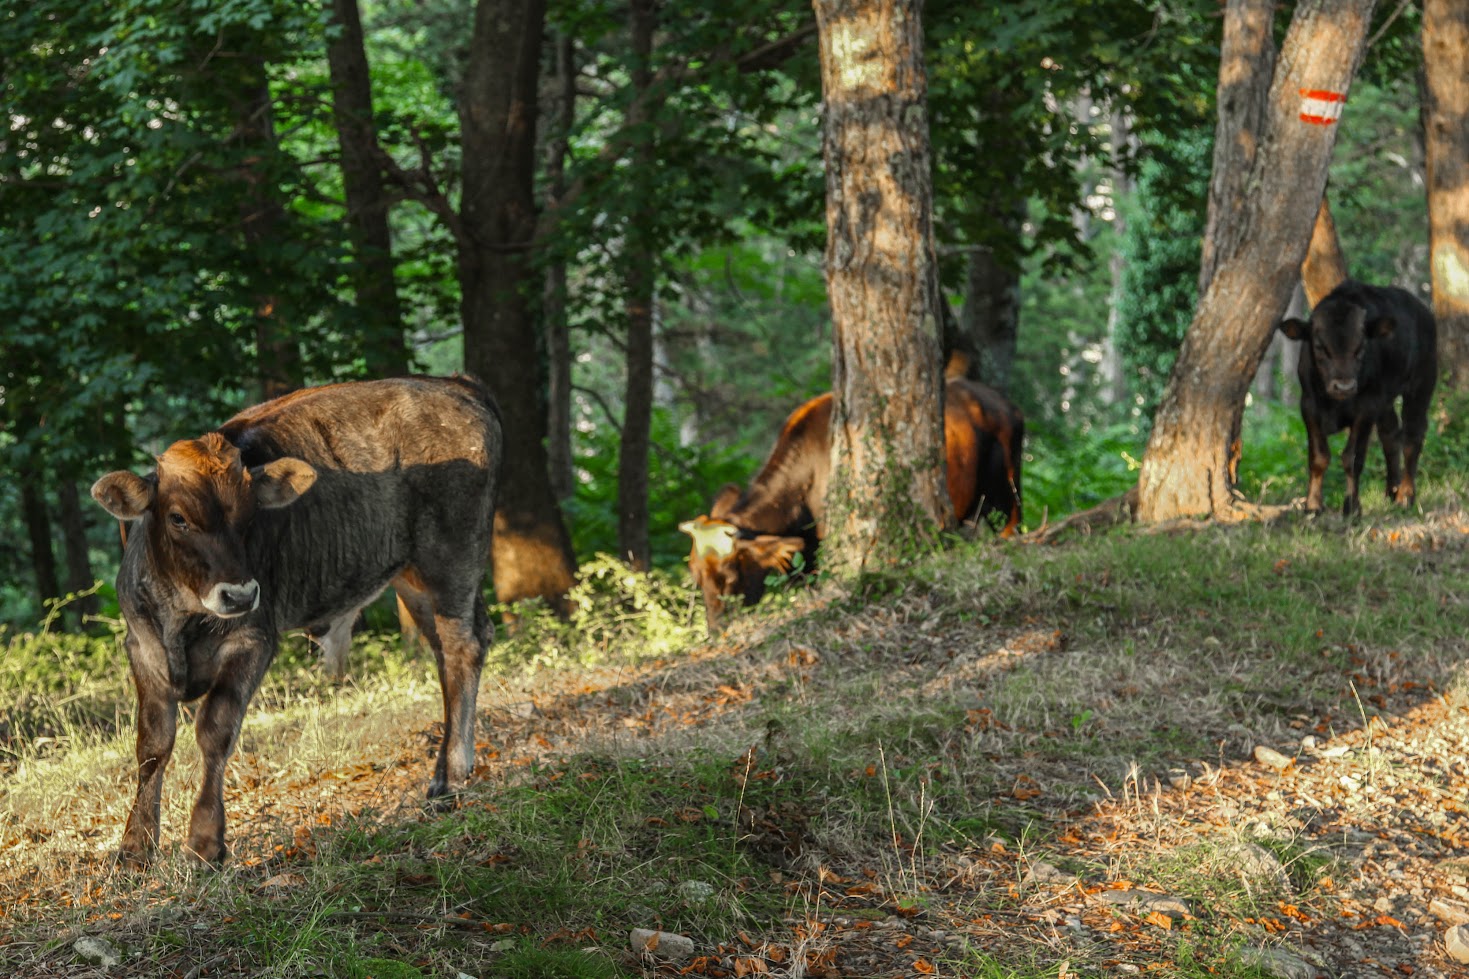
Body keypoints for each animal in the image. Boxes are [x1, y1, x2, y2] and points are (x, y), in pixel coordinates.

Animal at [94, 373, 505, 864]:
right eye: (178, 518)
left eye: (250, 517)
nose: (240, 593)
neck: (183, 618)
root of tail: (453, 384)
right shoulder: (142, 645)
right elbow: (152, 744)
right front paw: (135, 846)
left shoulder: (253, 640)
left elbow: (214, 729)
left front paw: (205, 842)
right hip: (414, 578)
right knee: (448, 653)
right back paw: (446, 771)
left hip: (450, 558)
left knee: (464, 648)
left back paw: (452, 777)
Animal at [1280, 277, 1439, 514]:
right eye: (1319, 346)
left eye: (1361, 346)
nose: (1344, 386)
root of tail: (1423, 311)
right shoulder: (1308, 405)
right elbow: (1318, 457)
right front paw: (1313, 506)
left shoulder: (1366, 407)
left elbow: (1352, 458)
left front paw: (1352, 507)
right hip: (1386, 400)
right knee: (1390, 435)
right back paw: (1391, 490)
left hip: (1421, 385)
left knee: (1413, 436)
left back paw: (1405, 495)